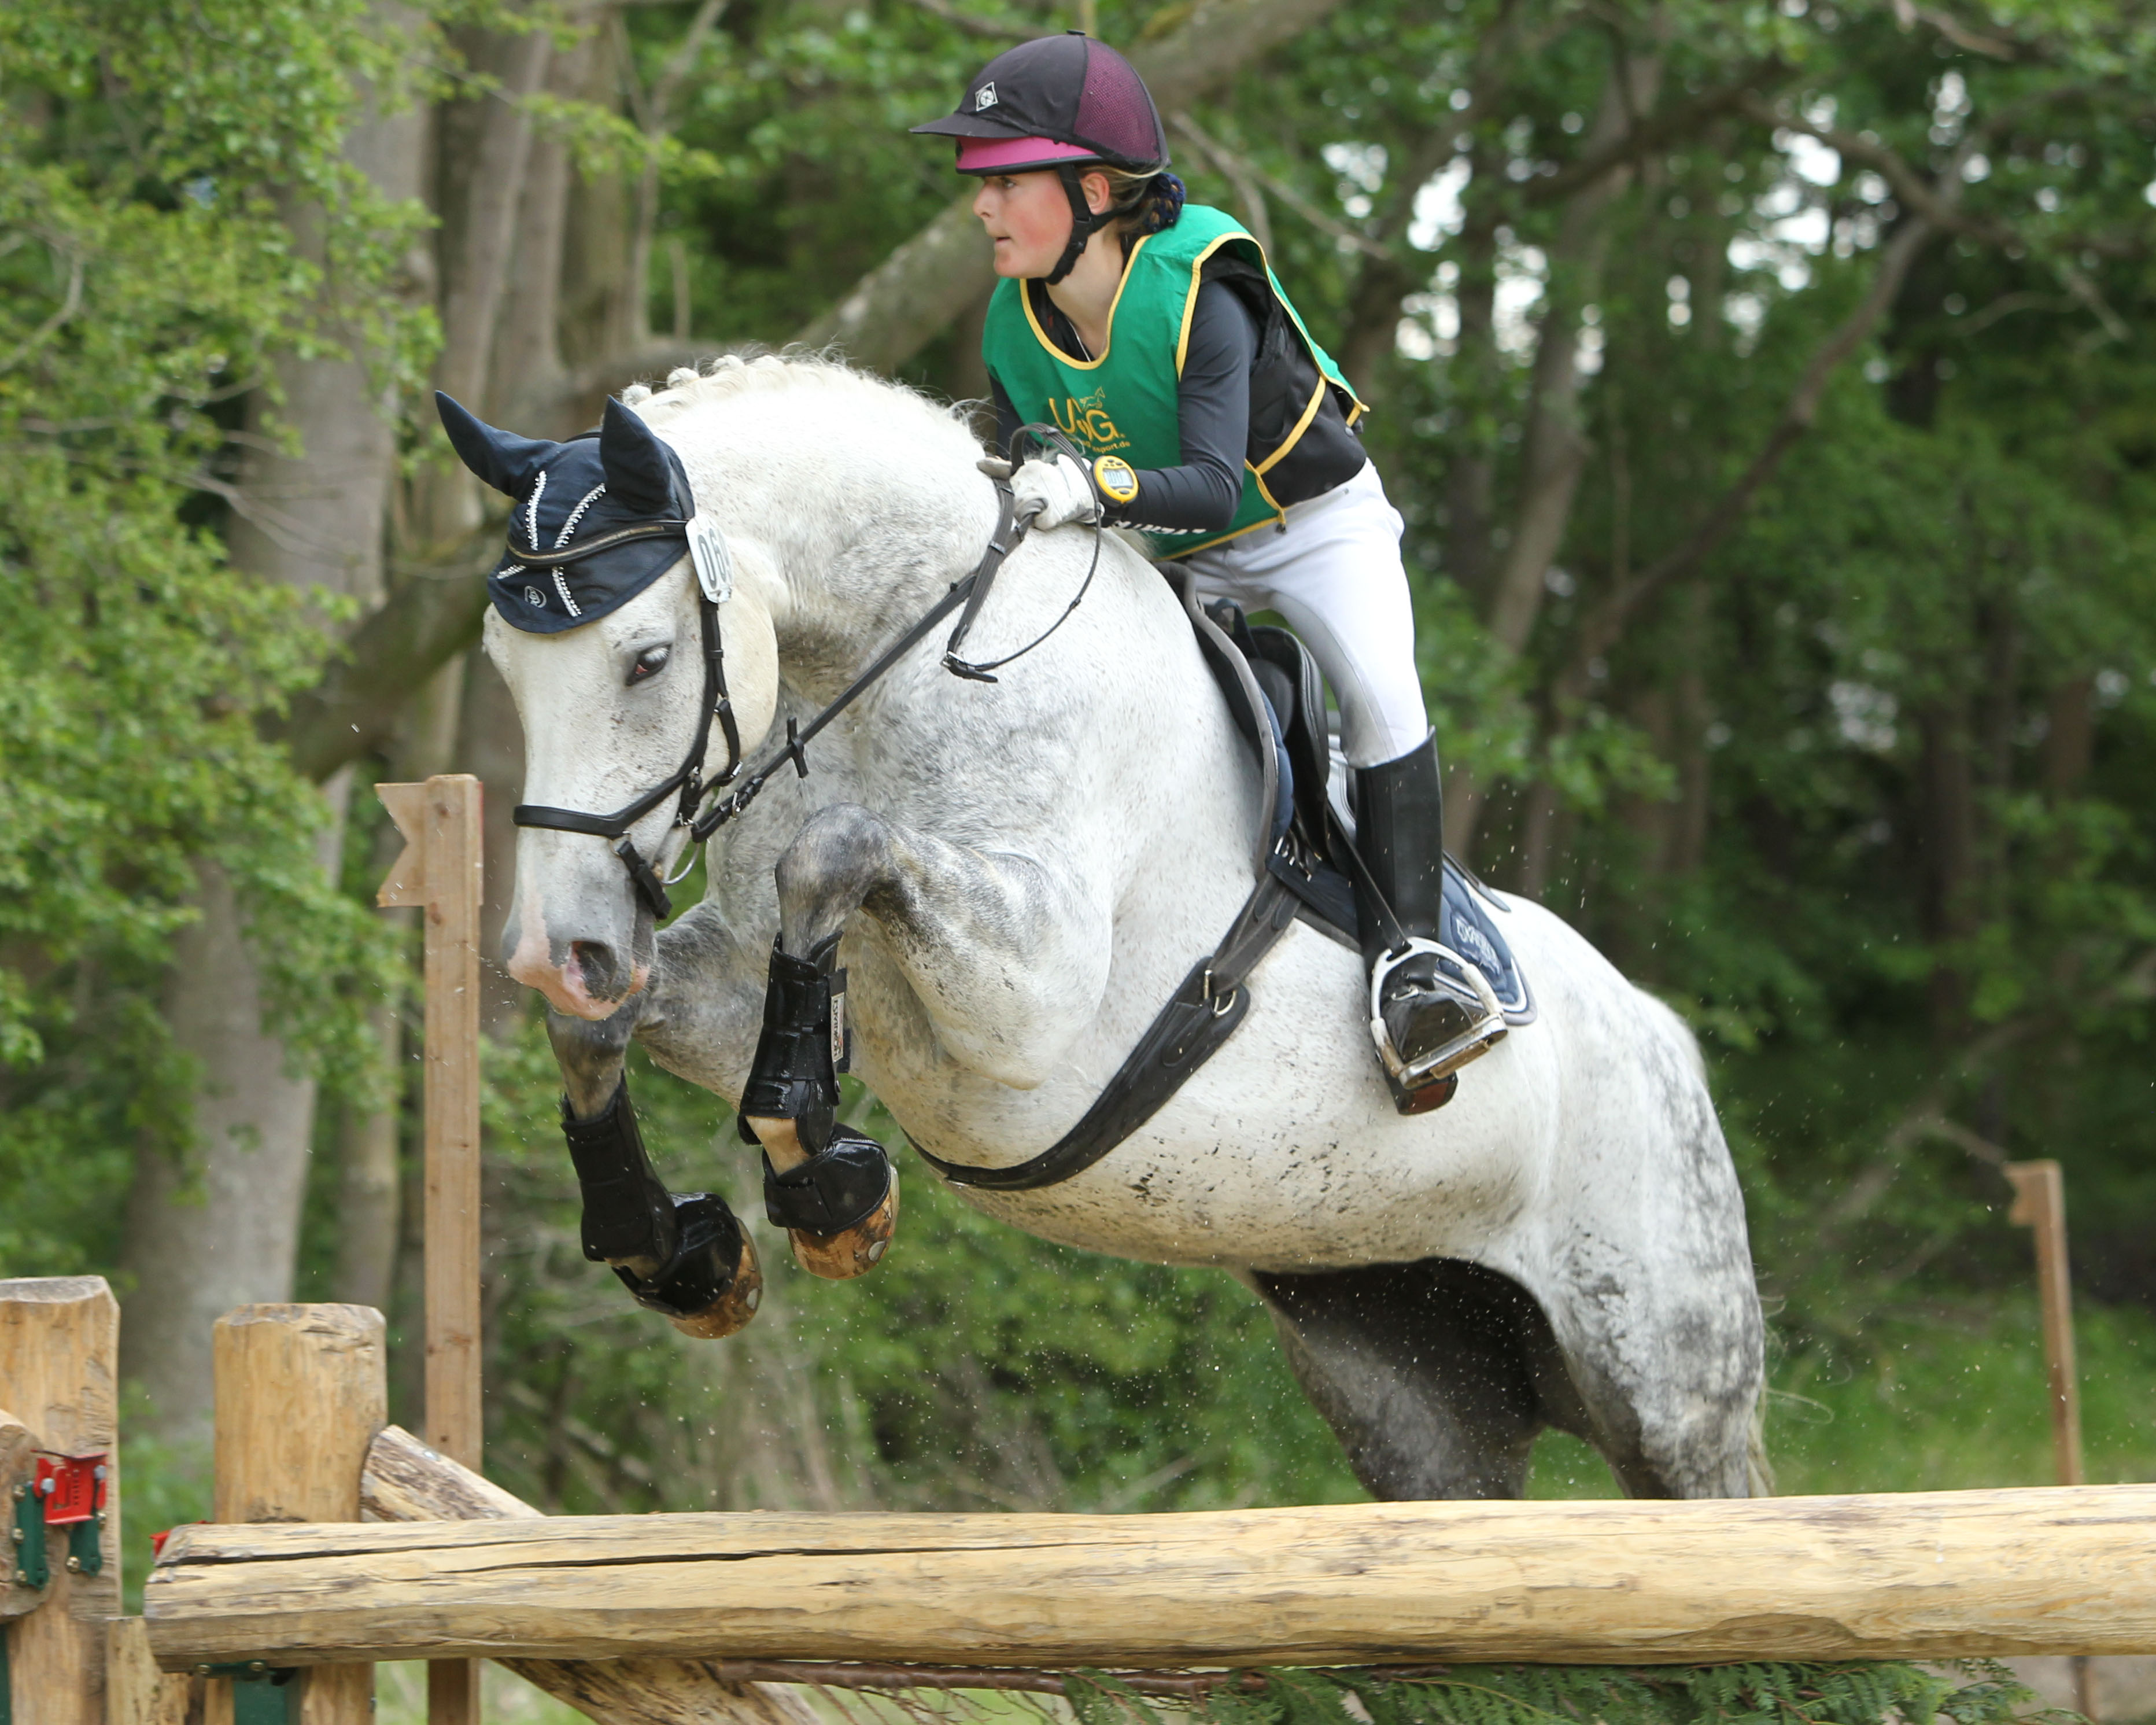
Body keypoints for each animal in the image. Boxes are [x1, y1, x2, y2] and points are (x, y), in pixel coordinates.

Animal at [481, 349, 1759, 1492]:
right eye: (504, 667)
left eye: (646, 659)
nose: (555, 950)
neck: (916, 656)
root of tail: (1665, 1041)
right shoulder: (741, 972)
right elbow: (614, 1022)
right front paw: (674, 1249)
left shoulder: (1027, 994)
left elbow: (833, 852)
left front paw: (826, 1179)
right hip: (1405, 1367)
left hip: (1665, 1383)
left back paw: (1430, 1004)